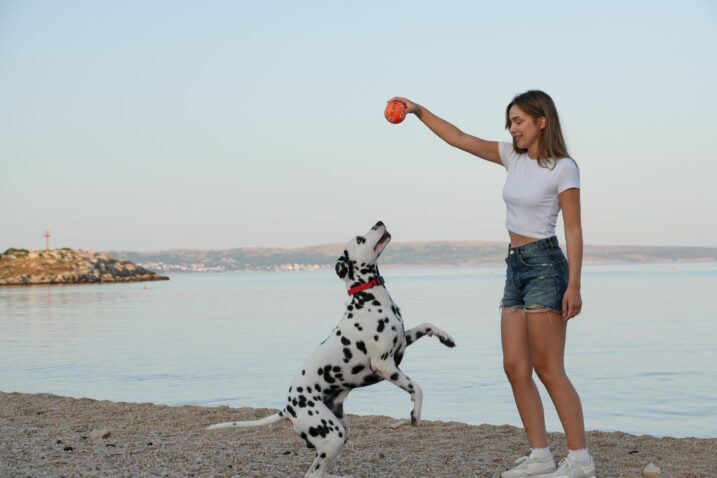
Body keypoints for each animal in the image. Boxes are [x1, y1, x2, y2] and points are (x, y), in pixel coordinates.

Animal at [207, 221, 454, 478]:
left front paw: (447, 339)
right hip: (332, 436)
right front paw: (415, 416)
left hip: (341, 432)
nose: (379, 222)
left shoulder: (401, 343)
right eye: (360, 239)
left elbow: (426, 325)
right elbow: (417, 389)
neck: (370, 299)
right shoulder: (384, 364)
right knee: (312, 474)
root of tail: (287, 408)